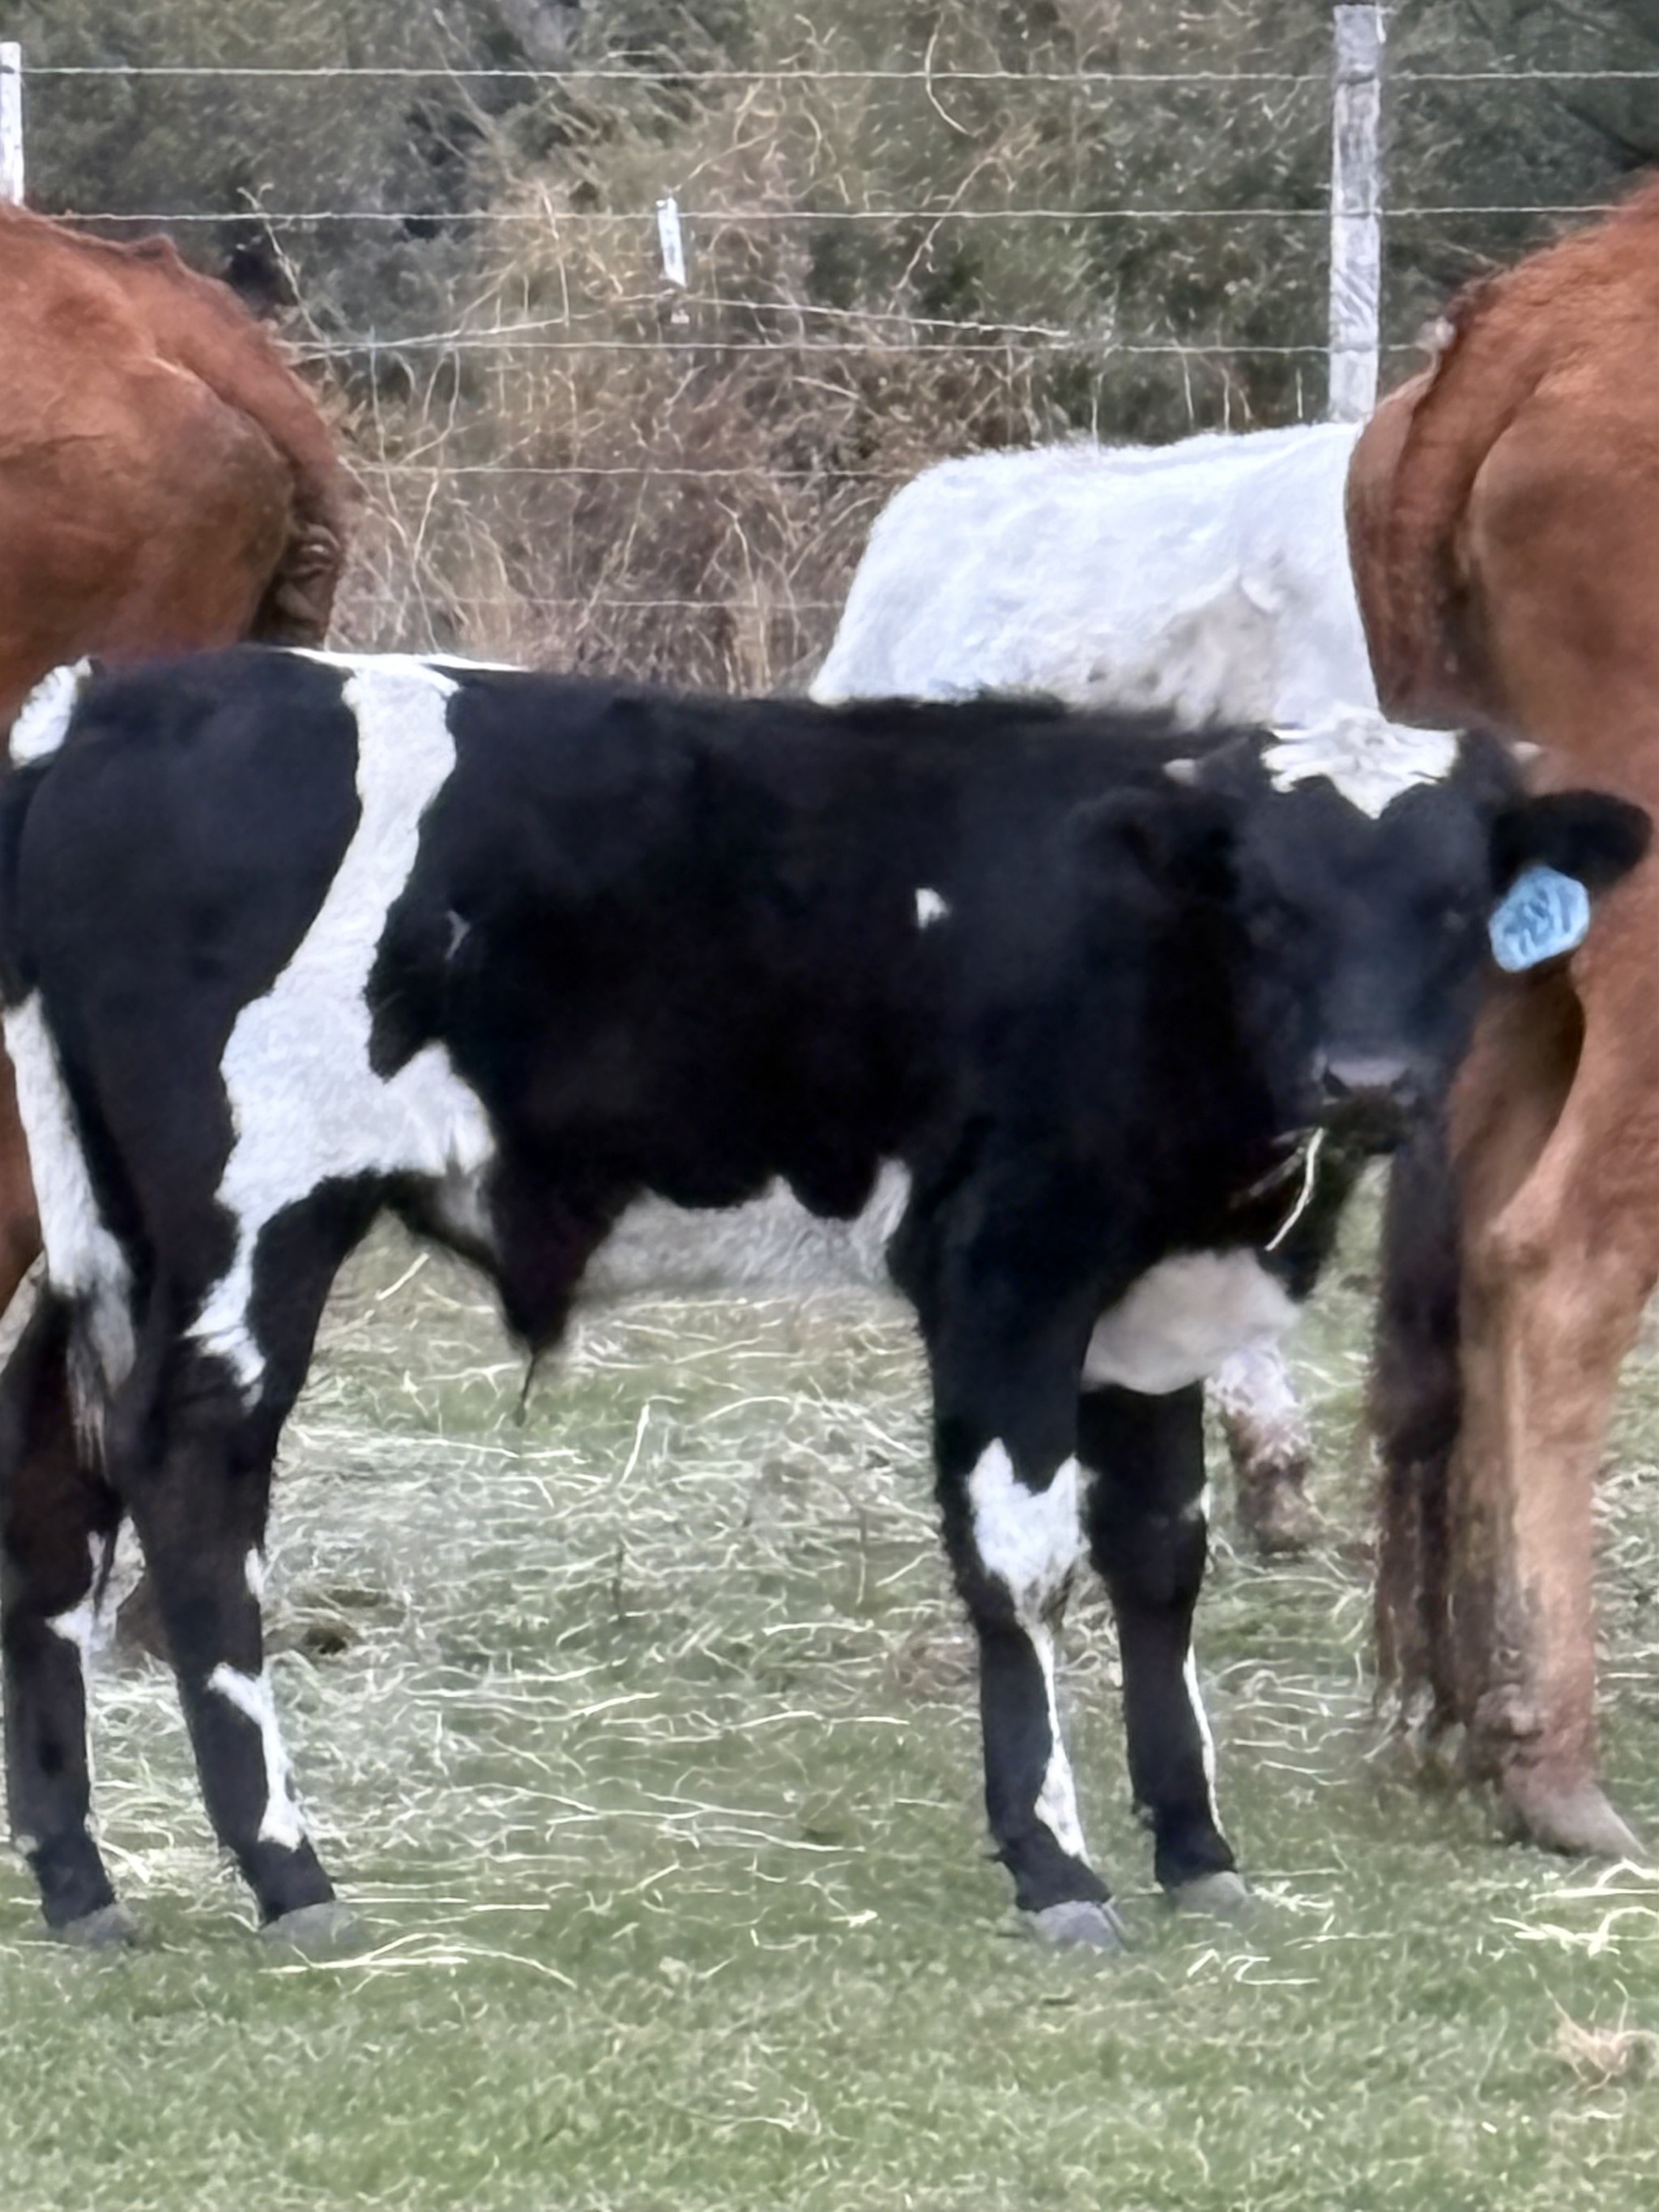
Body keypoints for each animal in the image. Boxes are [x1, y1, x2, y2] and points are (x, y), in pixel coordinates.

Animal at [0, 649, 1641, 1951]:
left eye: (1456, 906)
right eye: (1266, 905)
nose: (1367, 1081)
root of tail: (112, 699)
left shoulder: (1150, 1302)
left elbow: (1159, 1558)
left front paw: (1197, 1849)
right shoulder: (1007, 1274)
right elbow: (1023, 1564)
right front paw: (1056, 1864)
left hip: (96, 1241)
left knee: (59, 1488)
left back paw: (82, 1883)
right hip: (250, 1221)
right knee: (195, 1481)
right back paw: (288, 1873)